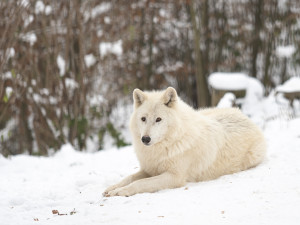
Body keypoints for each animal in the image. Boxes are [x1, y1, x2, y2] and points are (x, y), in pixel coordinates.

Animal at [103, 87, 268, 196]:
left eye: (158, 119)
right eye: (143, 119)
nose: (145, 139)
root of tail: (245, 116)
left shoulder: (174, 177)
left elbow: (140, 183)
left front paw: (120, 192)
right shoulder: (148, 170)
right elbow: (129, 178)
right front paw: (112, 188)